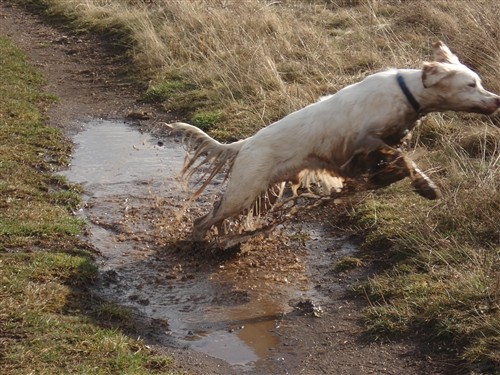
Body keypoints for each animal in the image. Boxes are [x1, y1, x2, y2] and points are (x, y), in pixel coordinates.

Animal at [167, 41, 496, 241]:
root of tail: (244, 143)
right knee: (205, 219)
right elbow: (402, 159)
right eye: (471, 84)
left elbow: (403, 160)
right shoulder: (364, 141)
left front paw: (422, 183)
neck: (406, 93)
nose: (497, 100)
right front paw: (423, 186)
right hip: (243, 192)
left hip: (263, 194)